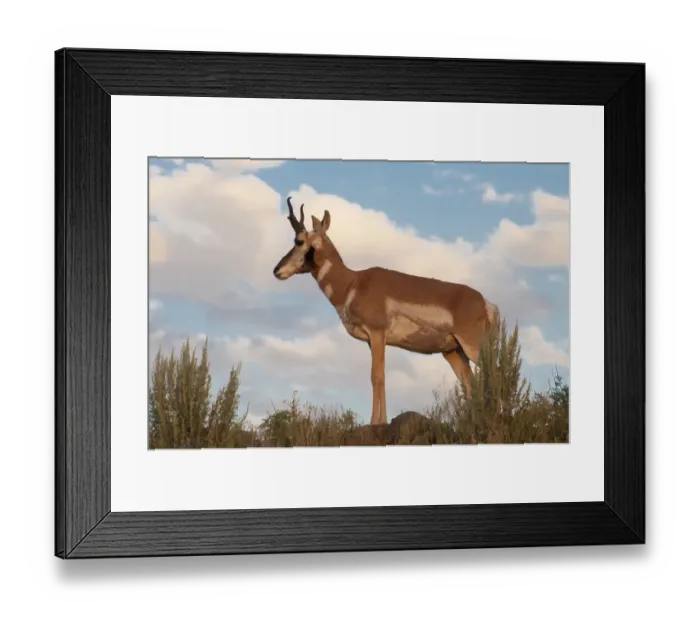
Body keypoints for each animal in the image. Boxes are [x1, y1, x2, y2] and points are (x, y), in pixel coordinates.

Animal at [273, 197, 498, 426]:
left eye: (298, 241)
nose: (276, 270)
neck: (353, 283)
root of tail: (485, 302)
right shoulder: (372, 340)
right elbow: (380, 376)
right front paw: (381, 420)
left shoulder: (377, 332)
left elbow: (376, 376)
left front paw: (374, 422)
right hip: (453, 352)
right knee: (470, 383)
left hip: (473, 346)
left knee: (492, 373)